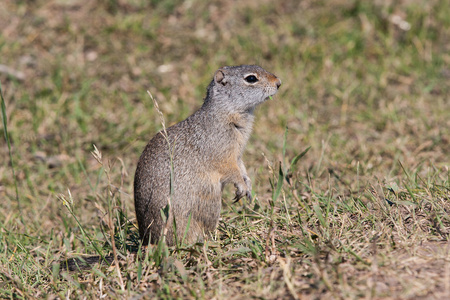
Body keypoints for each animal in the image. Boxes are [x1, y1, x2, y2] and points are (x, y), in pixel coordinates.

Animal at [134, 65, 282, 246]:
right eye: (251, 79)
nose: (278, 83)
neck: (225, 112)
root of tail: (148, 240)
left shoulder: (237, 156)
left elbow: (242, 168)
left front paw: (248, 185)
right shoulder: (224, 156)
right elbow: (232, 171)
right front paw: (242, 186)